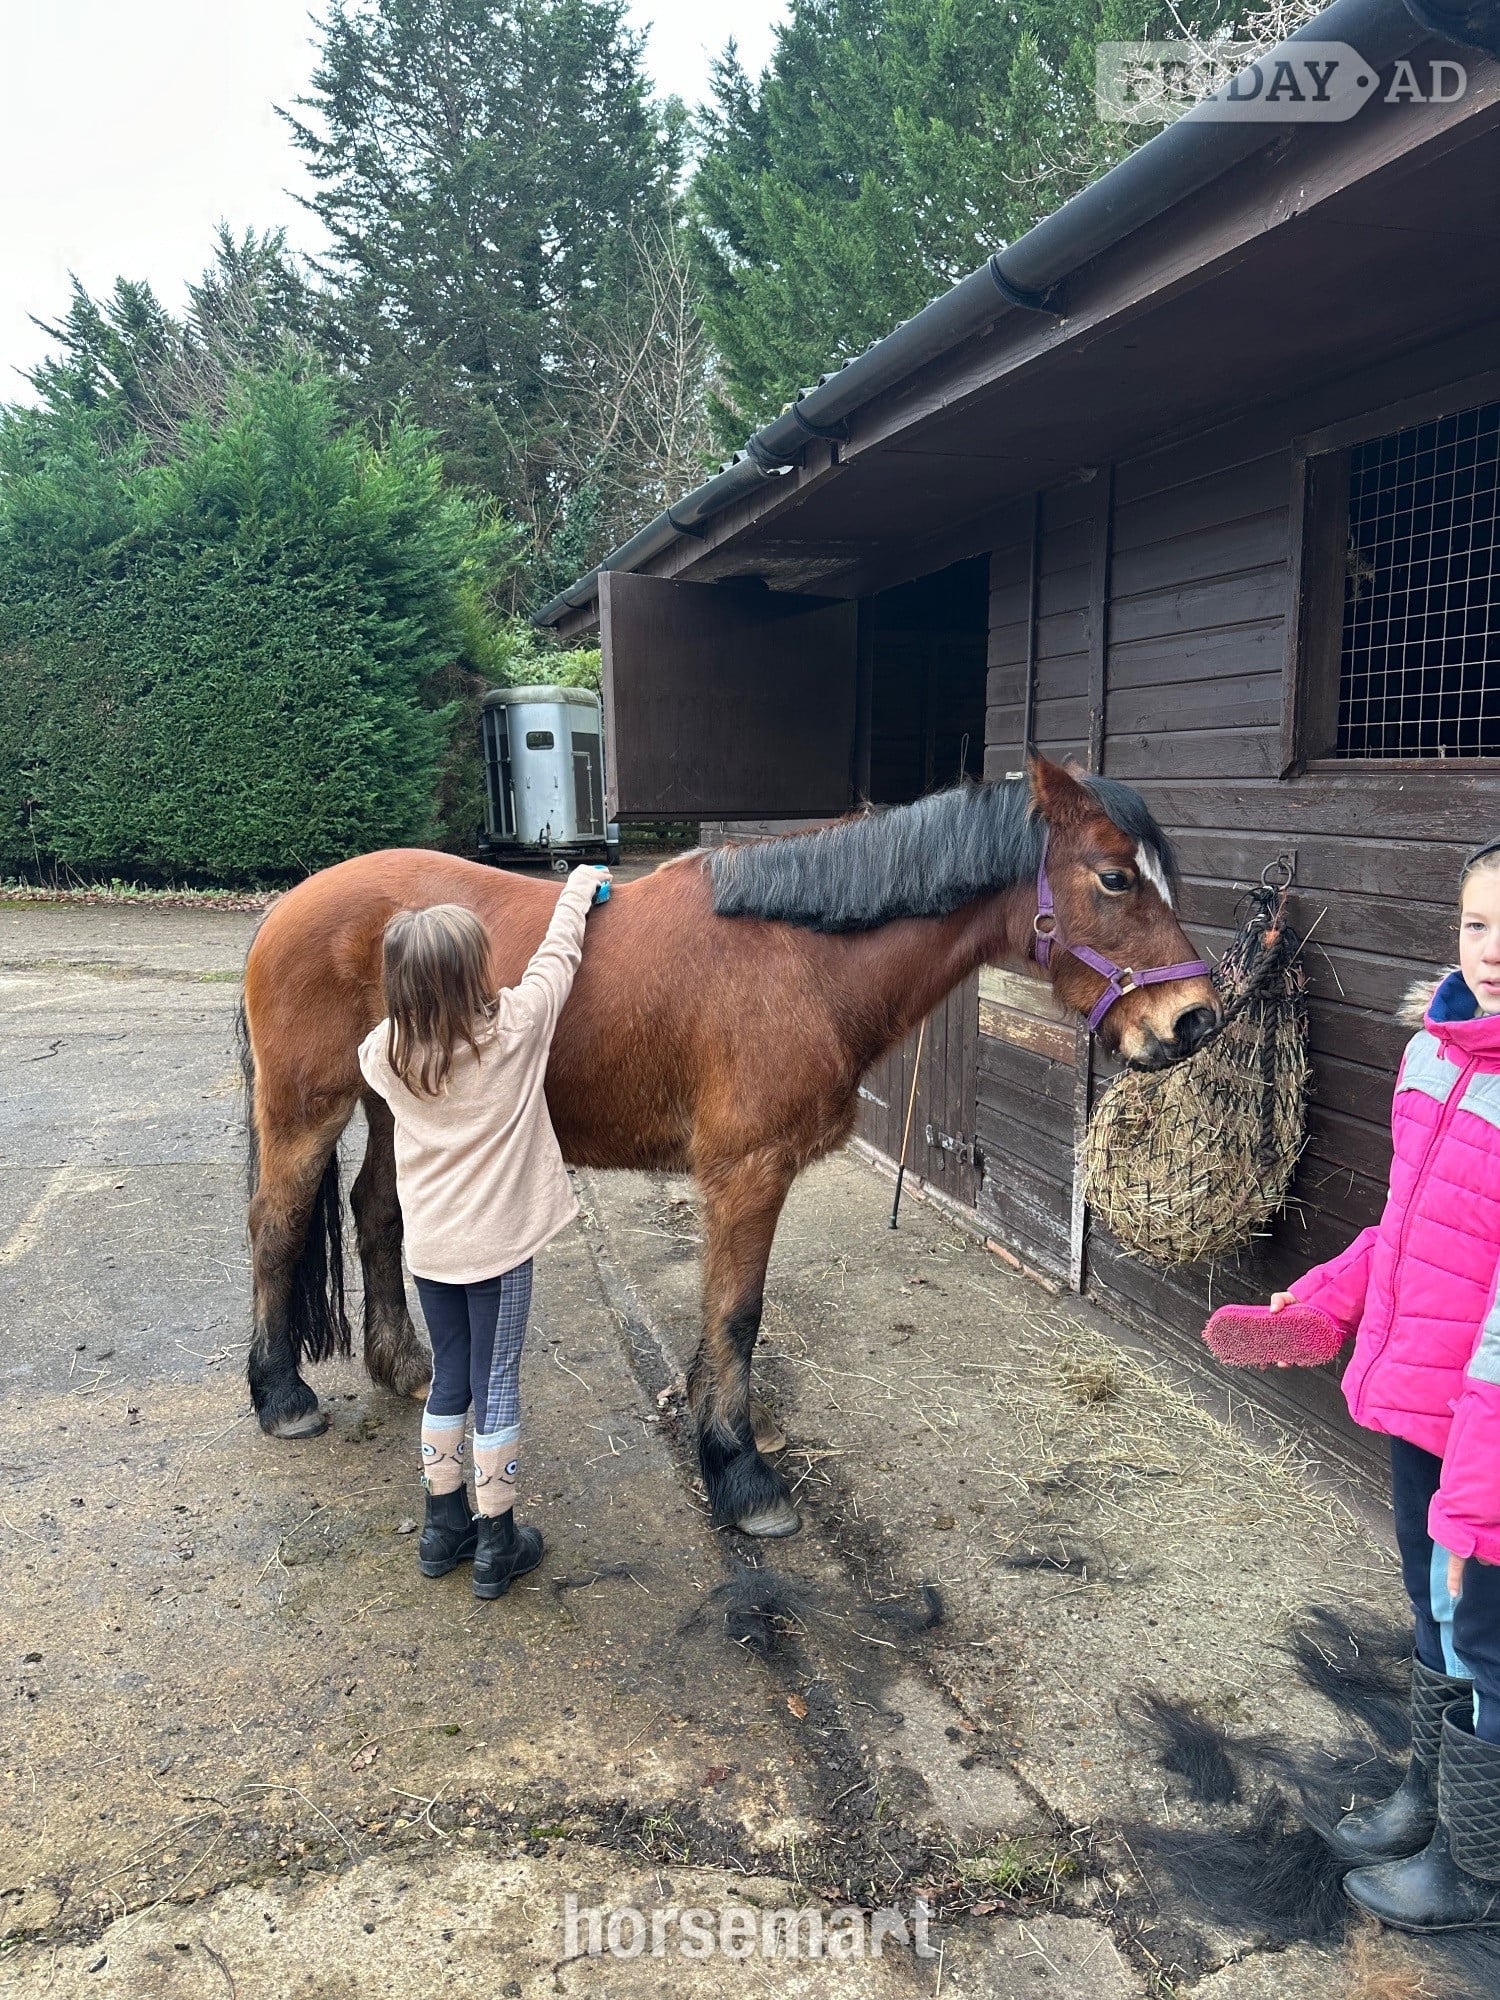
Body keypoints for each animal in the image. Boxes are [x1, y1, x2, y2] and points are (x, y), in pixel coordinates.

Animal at [237, 753, 1218, 1537]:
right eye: (1115, 878)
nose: (1195, 1019)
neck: (801, 958)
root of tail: (288, 905)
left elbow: (722, 1315)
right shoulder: (749, 1174)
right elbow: (739, 1315)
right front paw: (742, 1477)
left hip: (394, 1108)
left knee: (378, 1215)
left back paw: (404, 1366)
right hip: (307, 1108)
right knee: (277, 1227)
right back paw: (282, 1396)